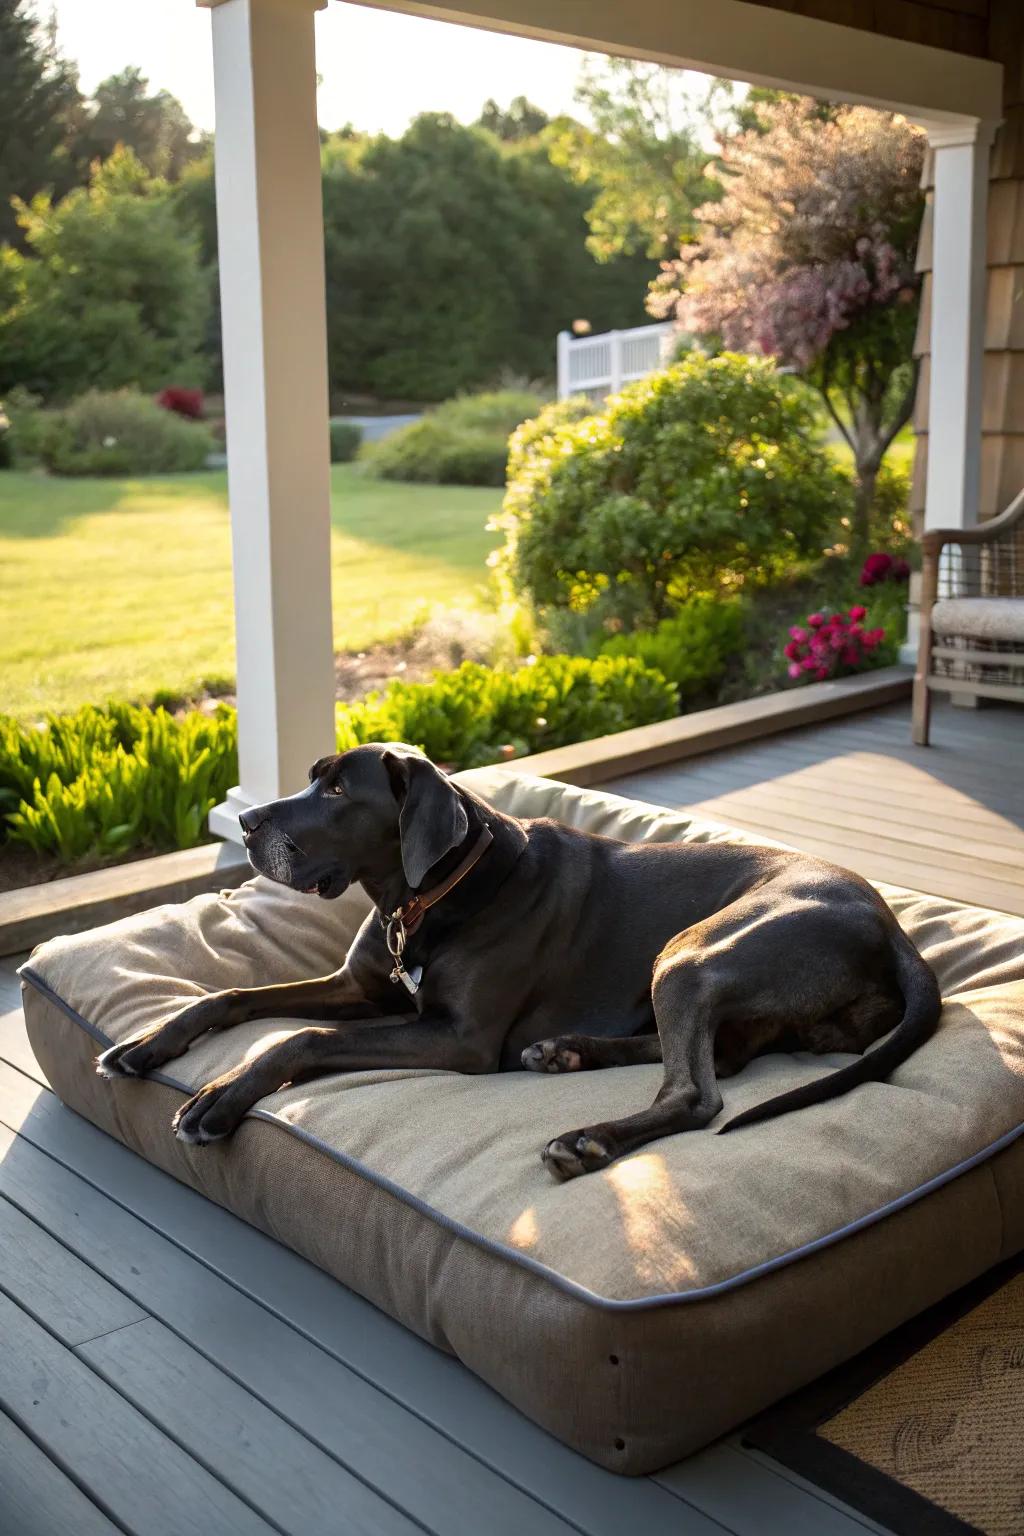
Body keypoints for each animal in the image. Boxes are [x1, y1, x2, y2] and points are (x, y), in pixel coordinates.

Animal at [98, 743, 945, 1173]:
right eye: (312, 780)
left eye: (338, 792)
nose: (245, 825)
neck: (424, 897)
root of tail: (895, 930)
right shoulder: (360, 988)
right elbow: (231, 997)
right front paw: (145, 1045)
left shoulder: (459, 1039)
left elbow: (297, 1038)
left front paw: (217, 1099)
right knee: (718, 1056)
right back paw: (567, 1052)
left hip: (693, 952)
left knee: (698, 1093)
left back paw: (589, 1138)